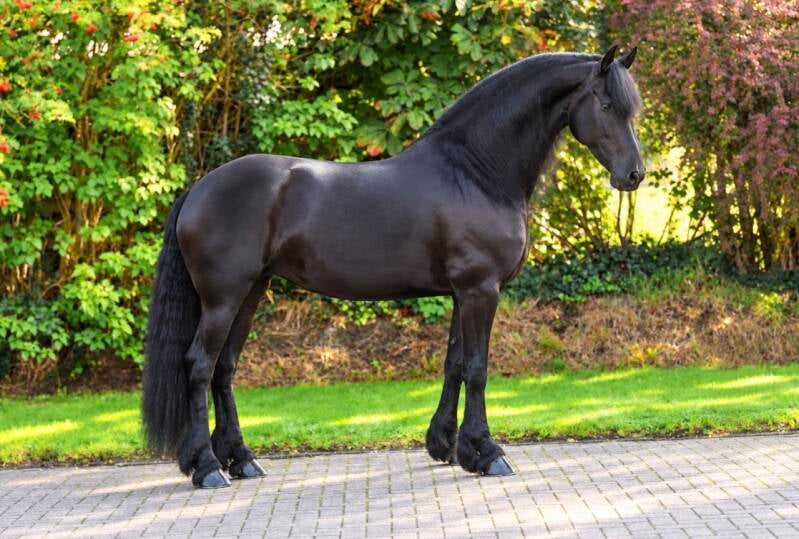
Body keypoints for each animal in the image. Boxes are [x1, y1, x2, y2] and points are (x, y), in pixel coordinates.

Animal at [142, 45, 644, 488]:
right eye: (605, 104)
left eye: (630, 109)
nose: (634, 175)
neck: (476, 172)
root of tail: (199, 189)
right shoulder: (481, 289)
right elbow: (478, 367)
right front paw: (488, 453)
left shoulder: (463, 292)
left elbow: (454, 364)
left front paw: (449, 446)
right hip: (222, 298)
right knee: (200, 366)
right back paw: (208, 468)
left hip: (250, 293)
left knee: (224, 370)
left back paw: (241, 460)